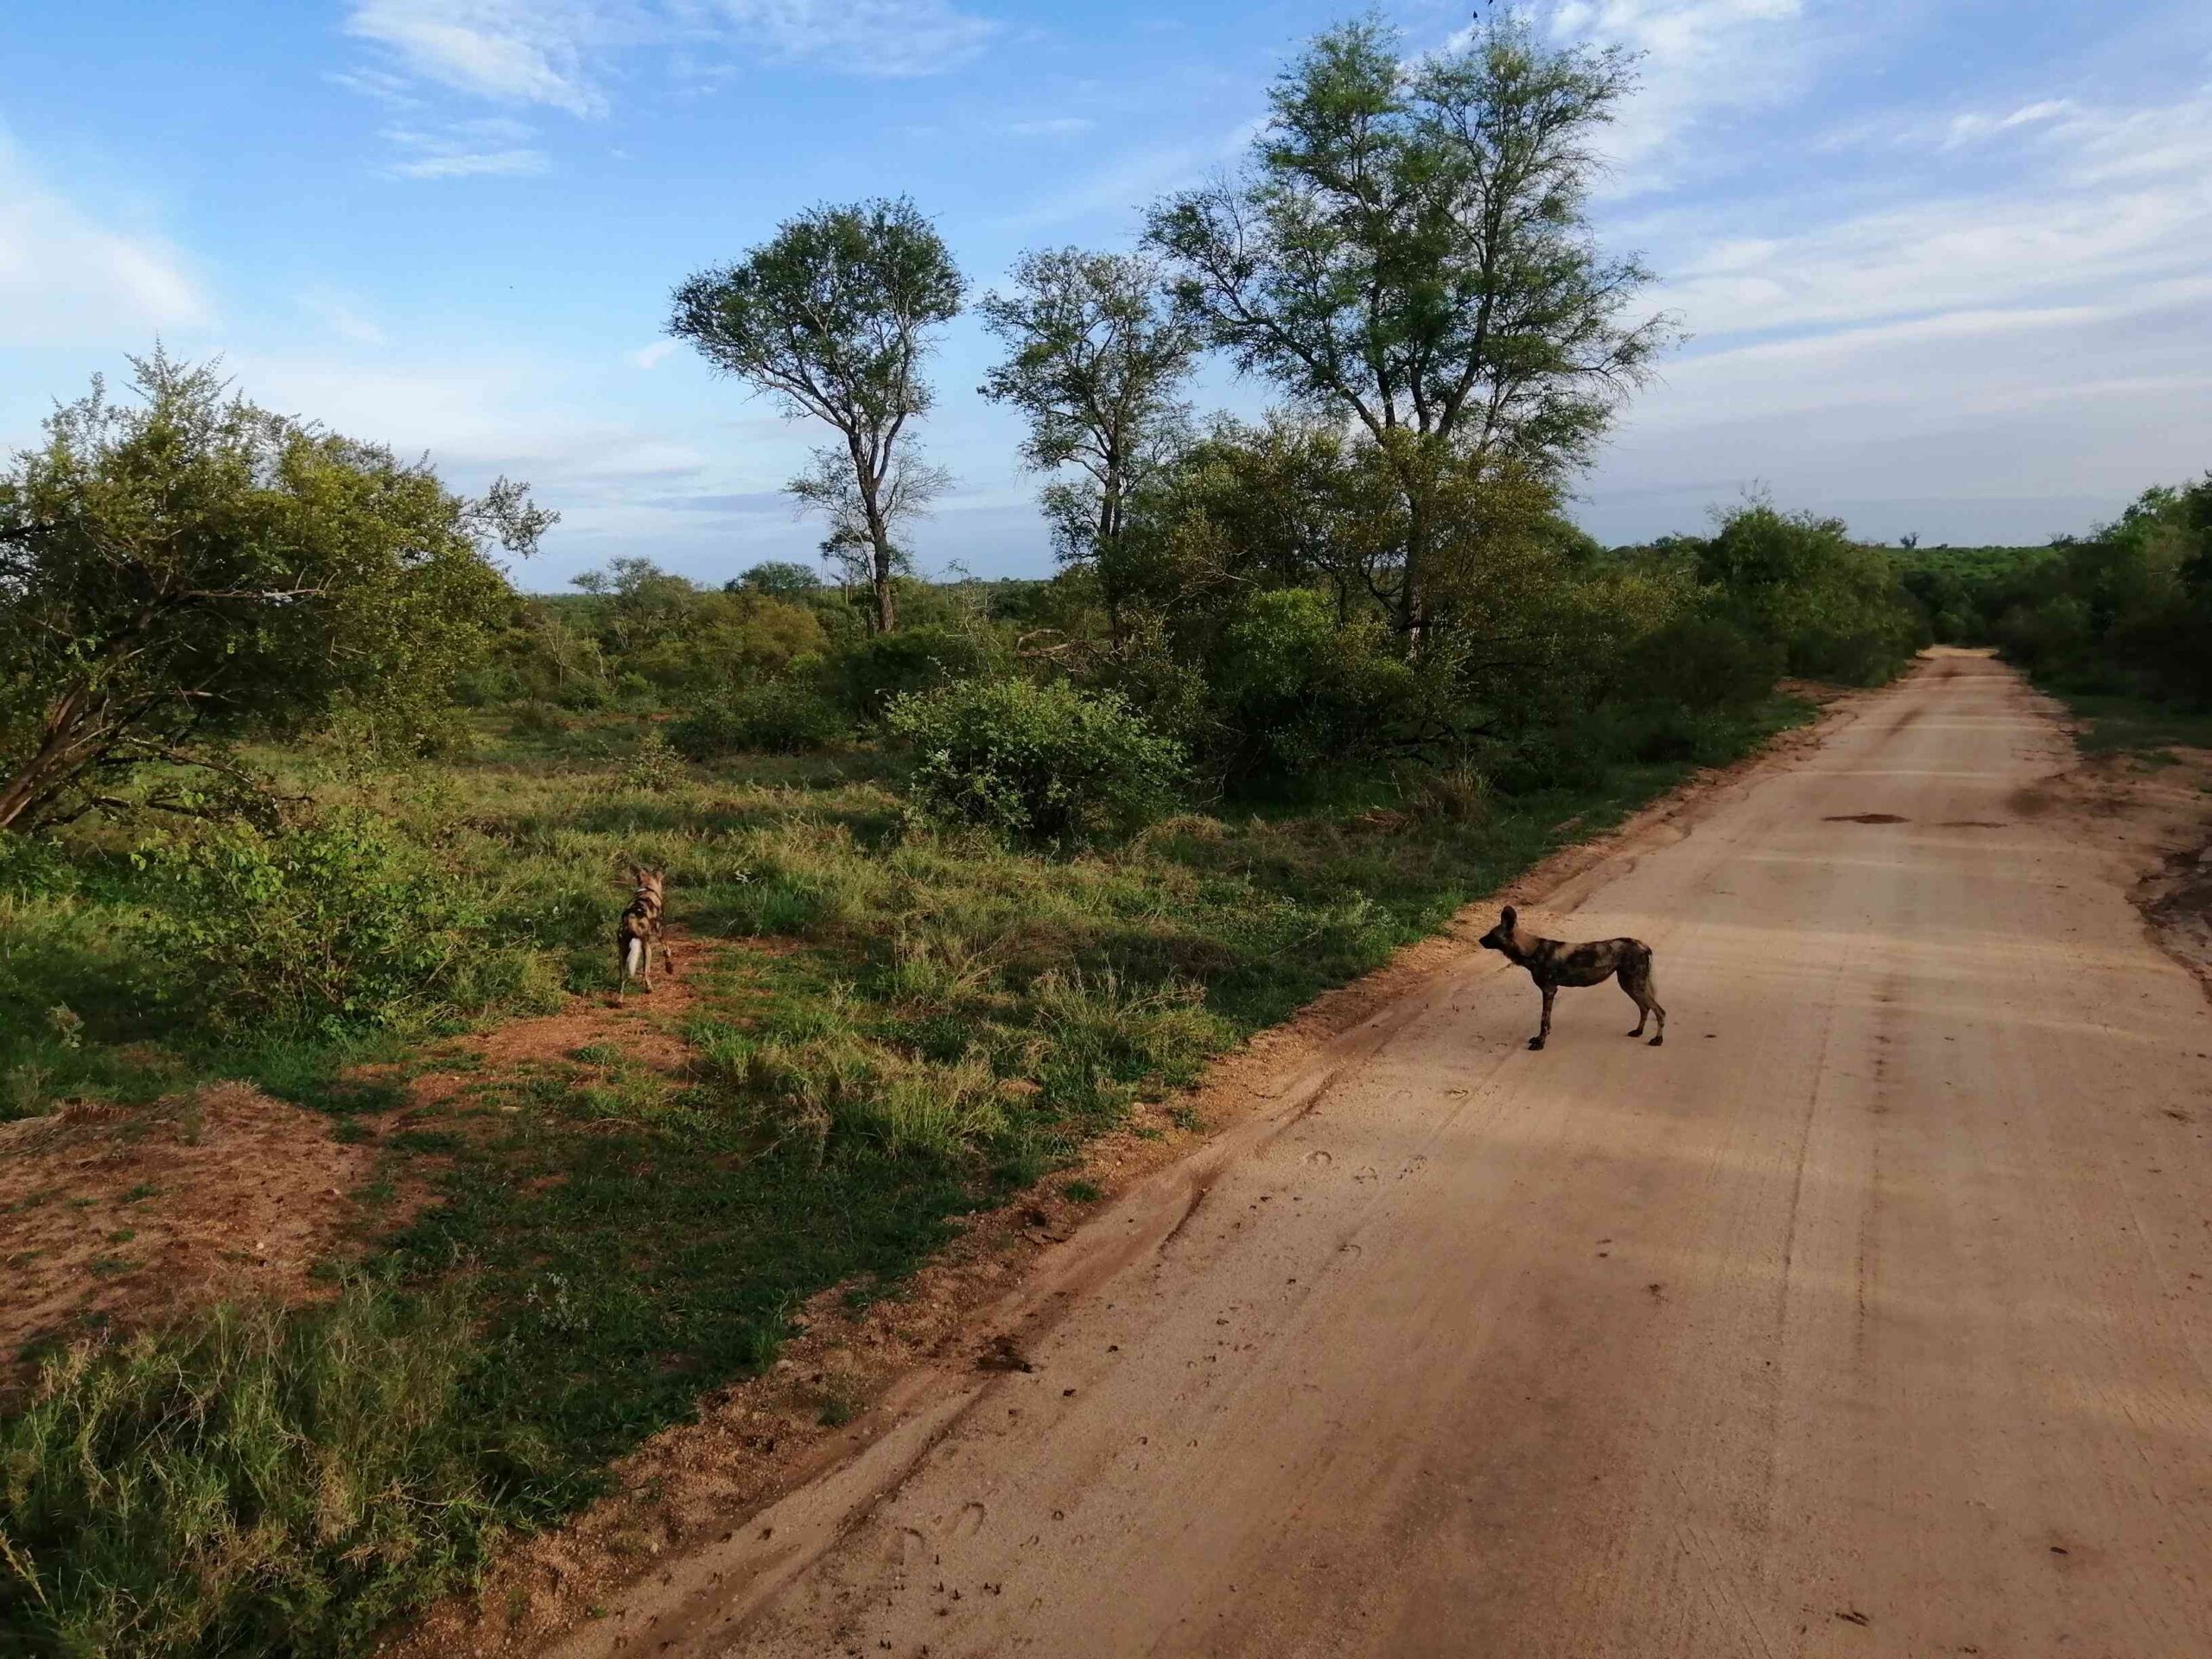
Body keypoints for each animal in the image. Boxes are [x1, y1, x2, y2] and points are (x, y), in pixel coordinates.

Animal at [614, 871, 672, 1000]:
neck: (647, 889)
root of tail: (631, 920)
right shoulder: (660, 932)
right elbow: (667, 951)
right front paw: (669, 968)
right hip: (648, 948)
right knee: (646, 973)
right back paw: (649, 989)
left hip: (623, 953)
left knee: (622, 979)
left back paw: (620, 1000)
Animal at [1478, 911, 1663, 1052]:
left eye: (1491, 935)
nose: (1479, 940)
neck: (1531, 950)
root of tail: (1643, 945)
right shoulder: (1550, 991)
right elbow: (1547, 1022)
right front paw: (1540, 1039)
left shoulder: (1549, 990)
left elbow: (1543, 1021)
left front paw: (1540, 1043)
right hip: (1628, 984)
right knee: (1645, 1008)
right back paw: (1638, 1031)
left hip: (1634, 985)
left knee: (1660, 1011)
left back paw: (1657, 1040)